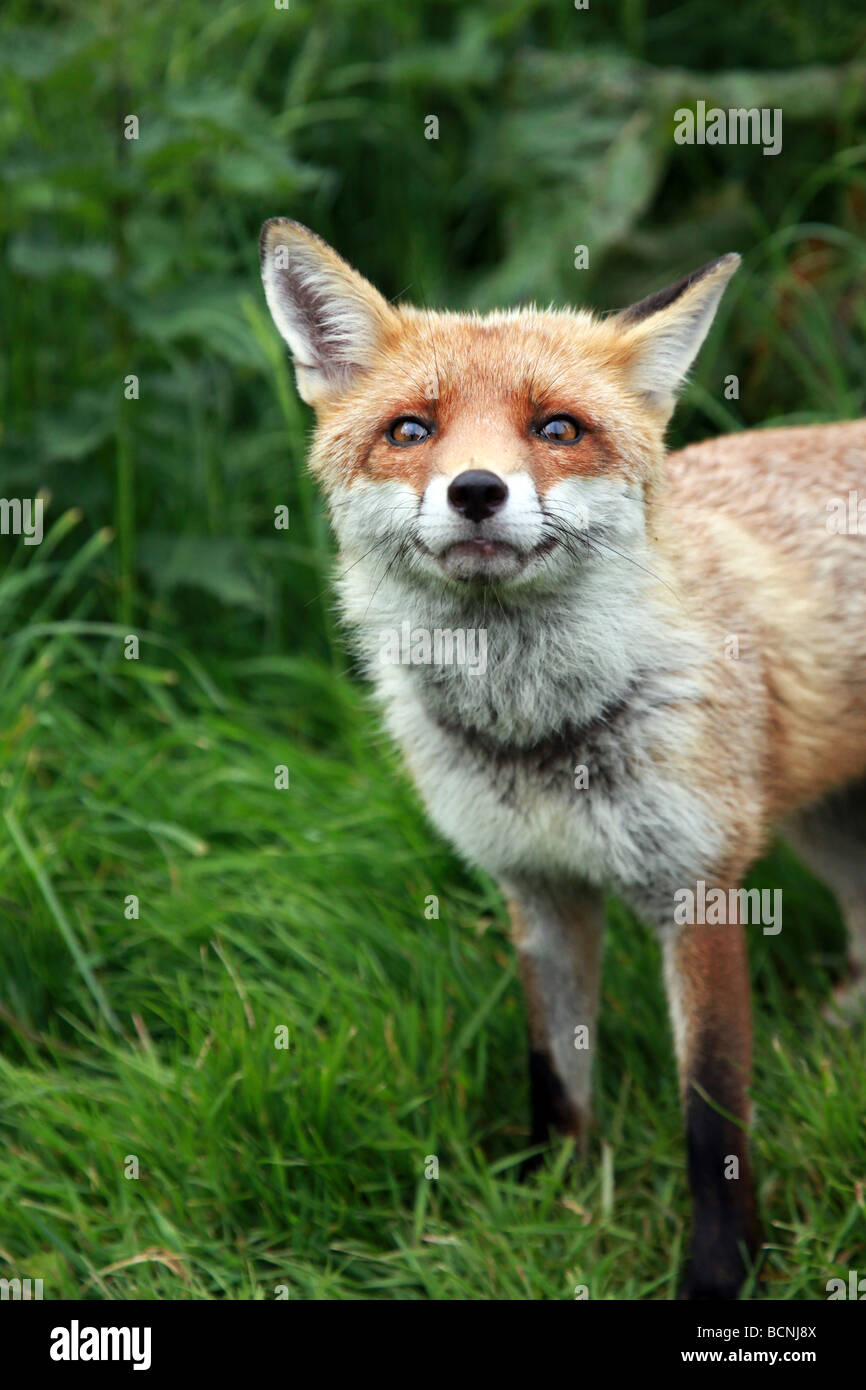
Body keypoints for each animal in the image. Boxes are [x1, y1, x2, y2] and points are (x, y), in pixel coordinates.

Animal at [259, 218, 866, 1300]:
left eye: (556, 429)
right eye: (410, 431)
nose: (476, 490)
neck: (541, 734)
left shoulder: (697, 890)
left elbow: (711, 1120)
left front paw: (720, 1276)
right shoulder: (536, 888)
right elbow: (556, 1074)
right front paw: (552, 1204)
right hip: (827, 831)